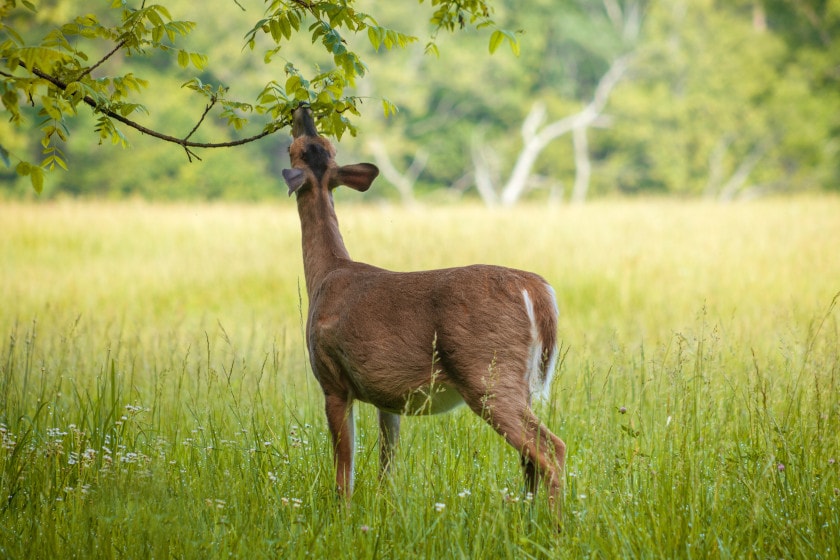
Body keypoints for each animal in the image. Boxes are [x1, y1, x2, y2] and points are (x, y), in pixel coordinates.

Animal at [282, 106, 564, 516]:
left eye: (296, 150)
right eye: (322, 146)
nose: (302, 110)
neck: (325, 273)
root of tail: (537, 288)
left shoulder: (333, 379)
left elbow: (344, 468)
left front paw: (343, 515)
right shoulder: (385, 395)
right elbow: (387, 462)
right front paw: (384, 505)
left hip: (487, 373)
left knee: (551, 449)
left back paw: (555, 525)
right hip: (518, 381)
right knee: (530, 457)